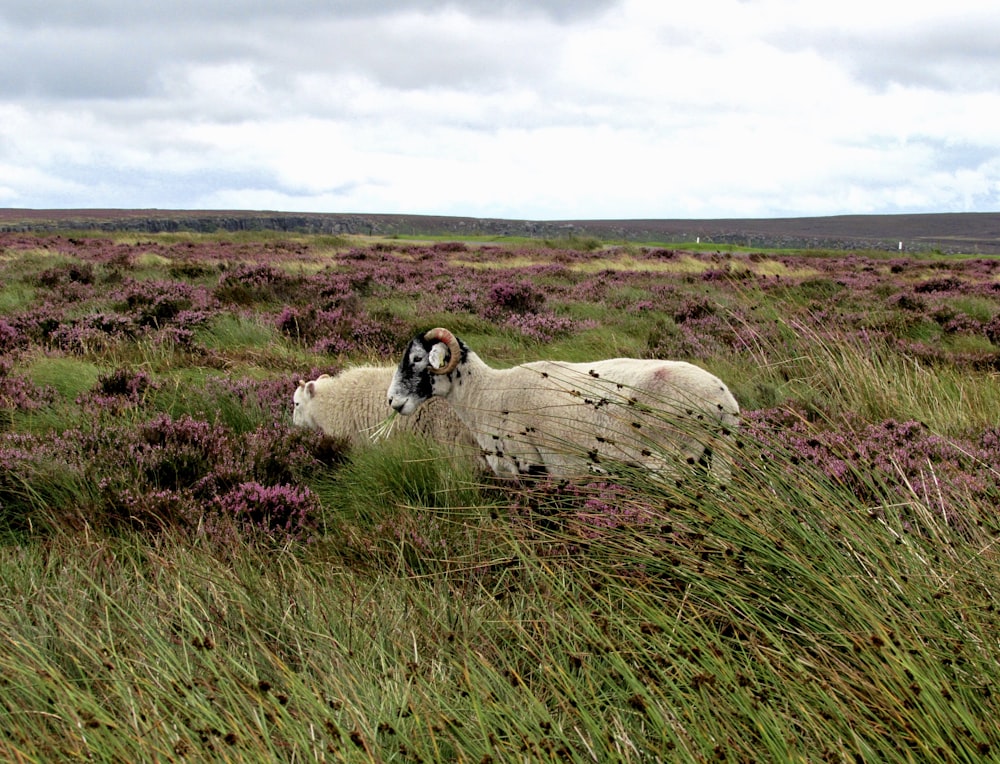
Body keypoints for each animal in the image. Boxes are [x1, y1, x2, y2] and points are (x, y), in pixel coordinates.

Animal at [386, 326, 740, 484]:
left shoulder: (530, 465)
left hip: (672, 460)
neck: (486, 394)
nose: (391, 401)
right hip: (715, 460)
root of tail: (724, 403)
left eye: (417, 359)